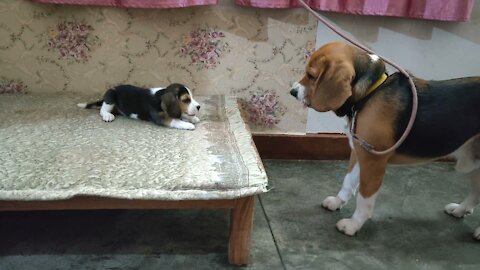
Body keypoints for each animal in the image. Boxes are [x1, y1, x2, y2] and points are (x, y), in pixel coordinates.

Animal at [288, 41, 480, 239]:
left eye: (311, 76)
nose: (292, 91)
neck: (371, 91)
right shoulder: (359, 153)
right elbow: (348, 181)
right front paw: (337, 202)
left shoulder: (374, 162)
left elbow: (364, 199)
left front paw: (354, 224)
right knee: (475, 195)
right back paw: (460, 210)